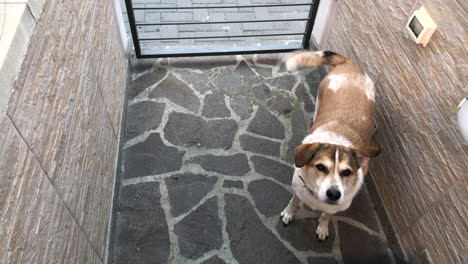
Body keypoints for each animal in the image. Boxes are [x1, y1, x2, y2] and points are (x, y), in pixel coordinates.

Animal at [282, 50, 380, 240]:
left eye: (347, 172)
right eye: (321, 167)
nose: (334, 194)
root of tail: (350, 64)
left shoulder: (337, 207)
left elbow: (327, 215)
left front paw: (323, 227)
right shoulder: (297, 188)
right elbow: (294, 201)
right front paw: (289, 213)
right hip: (320, 97)